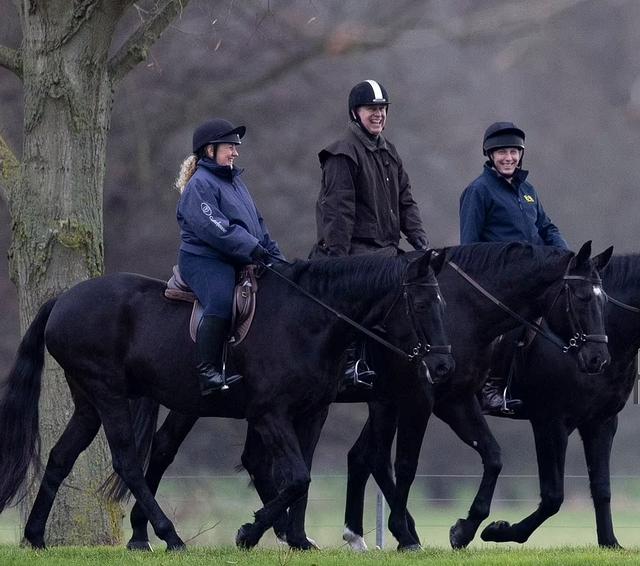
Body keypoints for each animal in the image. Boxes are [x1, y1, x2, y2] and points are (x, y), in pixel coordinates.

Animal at [0, 252, 456, 552]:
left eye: (442, 302)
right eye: (420, 303)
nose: (443, 365)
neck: (310, 320)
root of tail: (62, 300)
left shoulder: (310, 413)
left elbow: (302, 475)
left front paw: (294, 538)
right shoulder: (270, 414)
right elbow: (296, 477)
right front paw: (250, 534)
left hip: (89, 402)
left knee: (61, 457)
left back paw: (36, 537)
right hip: (108, 393)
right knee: (128, 462)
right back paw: (169, 536)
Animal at [119, 243, 608, 552]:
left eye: (603, 299)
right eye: (583, 297)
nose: (598, 357)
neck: (466, 311)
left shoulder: (451, 400)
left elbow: (490, 456)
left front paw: (465, 529)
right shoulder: (417, 399)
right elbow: (400, 464)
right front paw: (405, 533)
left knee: (254, 460)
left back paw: (285, 533)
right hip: (197, 402)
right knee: (163, 450)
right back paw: (148, 534)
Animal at [480, 253, 640, 552]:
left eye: (603, 301)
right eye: (582, 298)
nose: (598, 359)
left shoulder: (601, 422)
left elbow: (602, 488)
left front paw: (610, 543)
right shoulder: (550, 423)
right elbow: (553, 495)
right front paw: (498, 531)